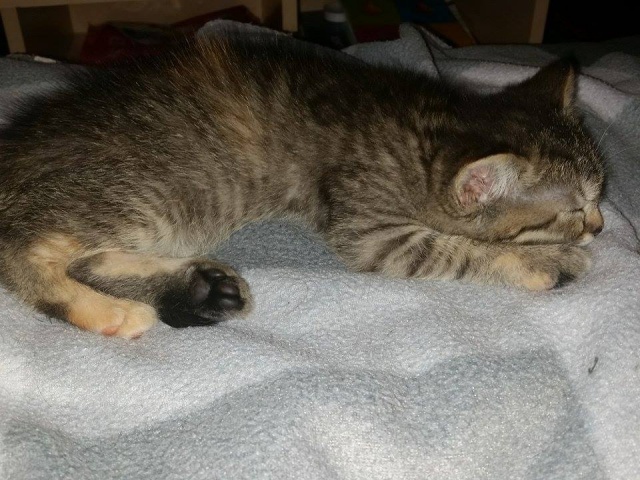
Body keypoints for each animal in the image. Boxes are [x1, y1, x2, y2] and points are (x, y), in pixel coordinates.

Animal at [0, 32, 604, 338]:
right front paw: (546, 261)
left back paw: (199, 289)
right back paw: (114, 314)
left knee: (88, 260)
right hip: (150, 195)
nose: (599, 226)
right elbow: (456, 249)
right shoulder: (370, 228)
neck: (432, 125)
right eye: (572, 210)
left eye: (600, 196)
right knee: (25, 253)